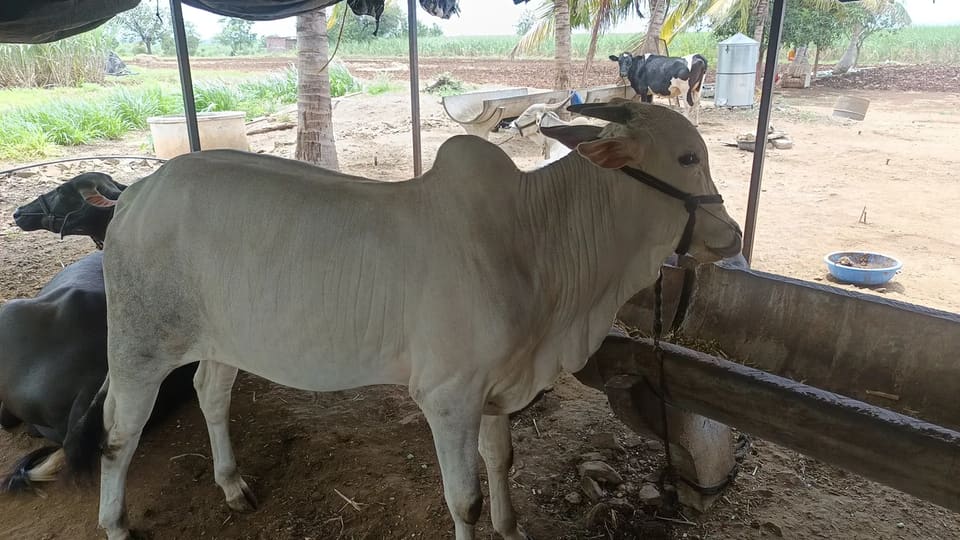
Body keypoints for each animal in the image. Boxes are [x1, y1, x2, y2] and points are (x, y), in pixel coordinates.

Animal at [87, 101, 741, 540]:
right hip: (139, 346)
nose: (733, 235)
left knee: (211, 393)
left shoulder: (496, 389)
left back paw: (232, 484)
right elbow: (464, 499)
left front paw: (511, 527)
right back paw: (116, 522)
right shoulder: (448, 396)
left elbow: (502, 462)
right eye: (689, 157)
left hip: (224, 340)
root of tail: (137, 191)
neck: (535, 240)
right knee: (118, 432)